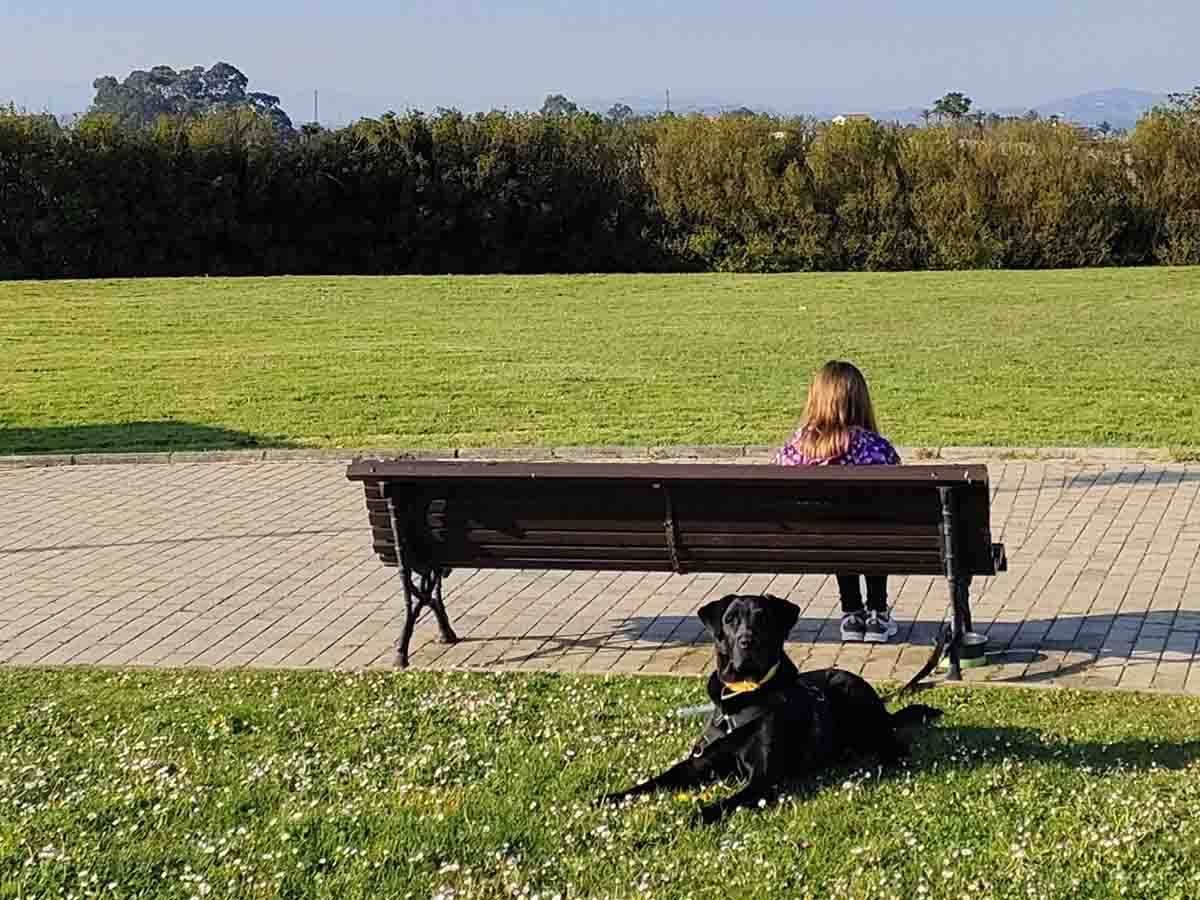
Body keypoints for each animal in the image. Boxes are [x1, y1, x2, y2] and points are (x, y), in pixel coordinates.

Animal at [604, 595, 940, 820]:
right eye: (730, 620)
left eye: (763, 618)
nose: (746, 642)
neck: (744, 695)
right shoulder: (700, 762)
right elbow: (661, 778)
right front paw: (617, 795)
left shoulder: (761, 780)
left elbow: (725, 802)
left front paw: (697, 815)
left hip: (855, 698)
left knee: (891, 743)